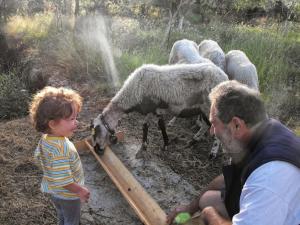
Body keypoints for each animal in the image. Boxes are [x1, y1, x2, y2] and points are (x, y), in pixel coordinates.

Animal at [91, 62, 227, 158]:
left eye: (95, 132)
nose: (96, 150)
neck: (134, 92)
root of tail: (224, 76)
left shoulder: (154, 109)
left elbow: (158, 126)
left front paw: (163, 145)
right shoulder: (152, 110)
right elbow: (148, 126)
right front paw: (146, 146)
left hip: (209, 106)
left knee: (215, 128)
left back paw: (212, 153)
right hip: (203, 108)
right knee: (205, 125)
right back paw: (193, 141)